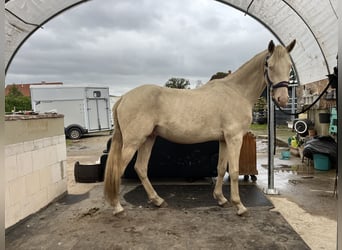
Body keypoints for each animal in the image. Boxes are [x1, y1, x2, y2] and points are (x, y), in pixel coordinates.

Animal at [104, 40, 296, 216]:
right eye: (270, 66)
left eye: (289, 67)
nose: (282, 99)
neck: (237, 92)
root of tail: (123, 97)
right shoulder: (234, 138)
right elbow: (234, 171)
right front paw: (239, 206)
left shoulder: (224, 140)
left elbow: (221, 168)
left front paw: (221, 199)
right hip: (133, 142)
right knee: (118, 169)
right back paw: (117, 206)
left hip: (148, 138)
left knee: (141, 168)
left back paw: (157, 200)